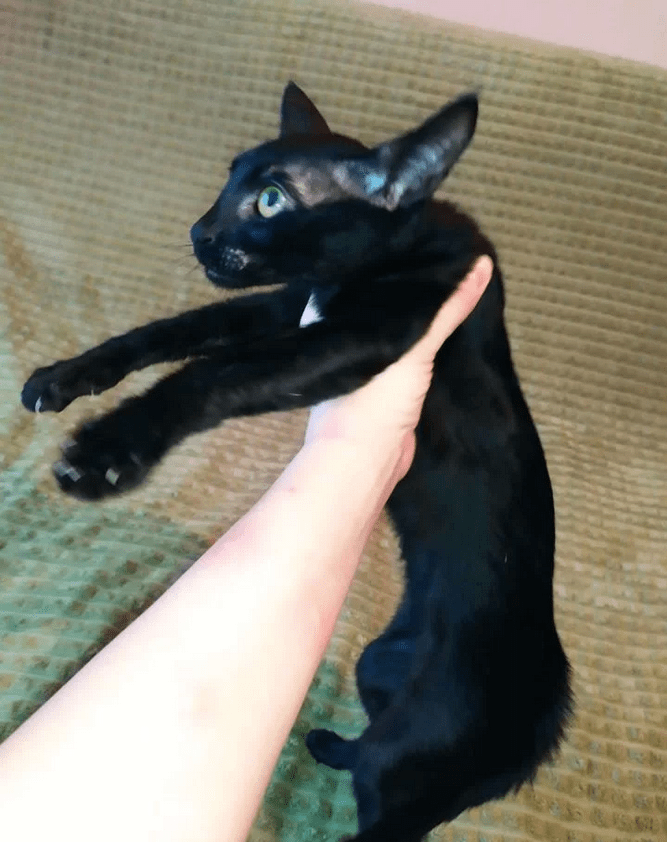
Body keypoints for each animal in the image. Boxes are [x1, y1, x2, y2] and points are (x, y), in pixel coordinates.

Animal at [23, 83, 572, 832]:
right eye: (229, 180)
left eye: (271, 201)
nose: (198, 232)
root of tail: (543, 726)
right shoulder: (283, 308)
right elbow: (169, 332)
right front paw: (64, 378)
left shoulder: (353, 339)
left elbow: (213, 375)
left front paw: (110, 451)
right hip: (376, 666)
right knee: (364, 742)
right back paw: (323, 740)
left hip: (406, 768)